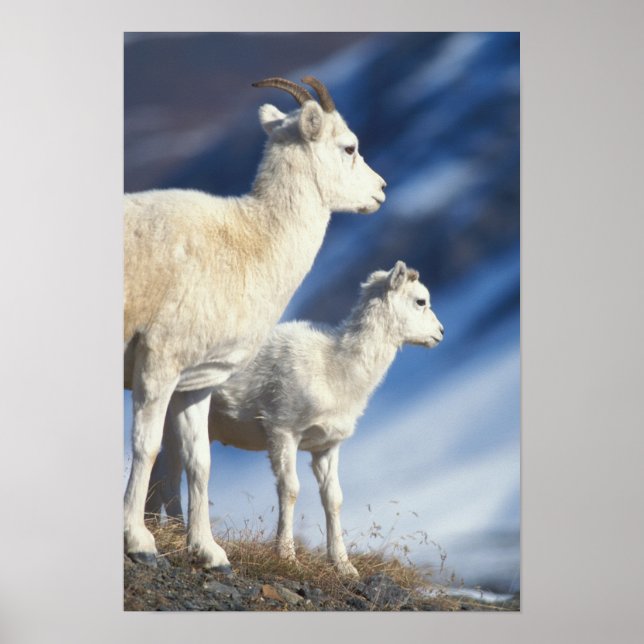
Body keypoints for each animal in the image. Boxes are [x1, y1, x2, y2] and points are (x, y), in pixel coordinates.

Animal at [124, 76, 387, 571]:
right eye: (349, 147)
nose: (381, 190)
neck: (251, 240)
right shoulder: (159, 364)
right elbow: (145, 448)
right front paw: (139, 542)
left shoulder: (196, 383)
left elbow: (199, 462)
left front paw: (209, 553)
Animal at [146, 261, 444, 578]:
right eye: (420, 301)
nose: (440, 332)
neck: (335, 367)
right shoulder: (283, 433)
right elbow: (290, 490)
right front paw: (287, 556)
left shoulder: (326, 448)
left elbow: (333, 499)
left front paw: (344, 566)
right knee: (169, 474)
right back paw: (178, 532)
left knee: (164, 469)